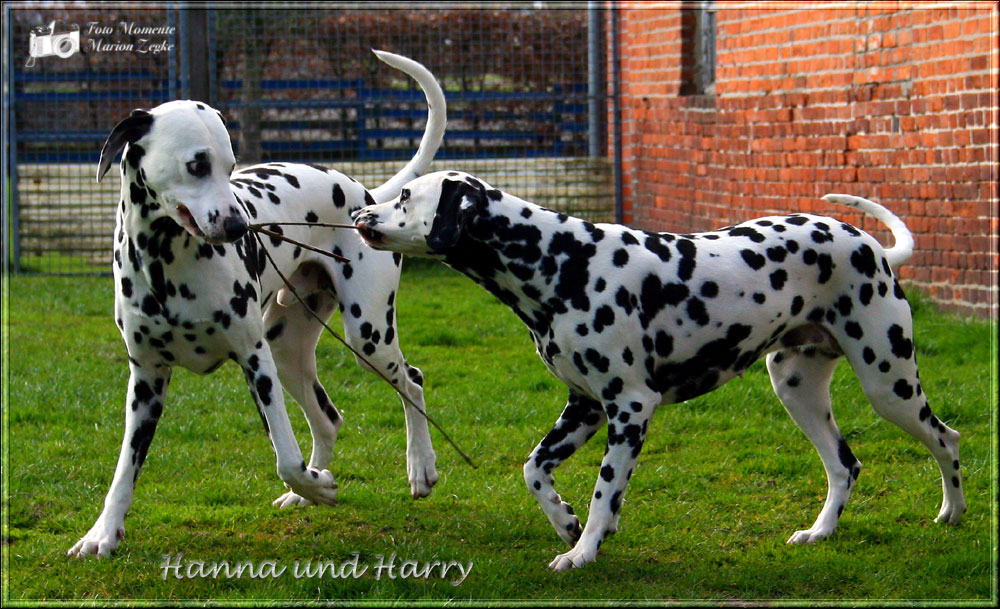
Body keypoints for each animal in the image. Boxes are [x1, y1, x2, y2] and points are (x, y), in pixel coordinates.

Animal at [356, 171, 964, 568]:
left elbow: (604, 490)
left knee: (947, 439)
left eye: (404, 196)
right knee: (844, 465)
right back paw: (820, 532)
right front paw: (566, 522)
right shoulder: (585, 408)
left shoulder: (629, 408)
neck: (562, 262)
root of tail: (871, 247)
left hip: (888, 384)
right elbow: (534, 470)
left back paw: (953, 513)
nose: (360, 213)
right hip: (797, 389)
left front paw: (583, 550)